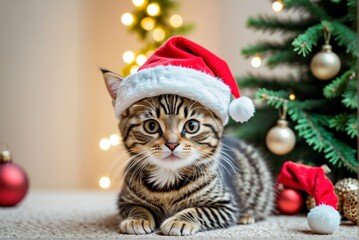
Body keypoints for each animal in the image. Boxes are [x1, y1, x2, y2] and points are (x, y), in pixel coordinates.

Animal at [102, 70, 274, 236]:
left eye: (192, 126)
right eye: (151, 126)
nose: (172, 144)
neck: (168, 179)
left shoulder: (226, 205)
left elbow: (200, 211)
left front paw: (180, 221)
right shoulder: (124, 201)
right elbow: (136, 207)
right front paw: (137, 219)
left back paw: (247, 216)